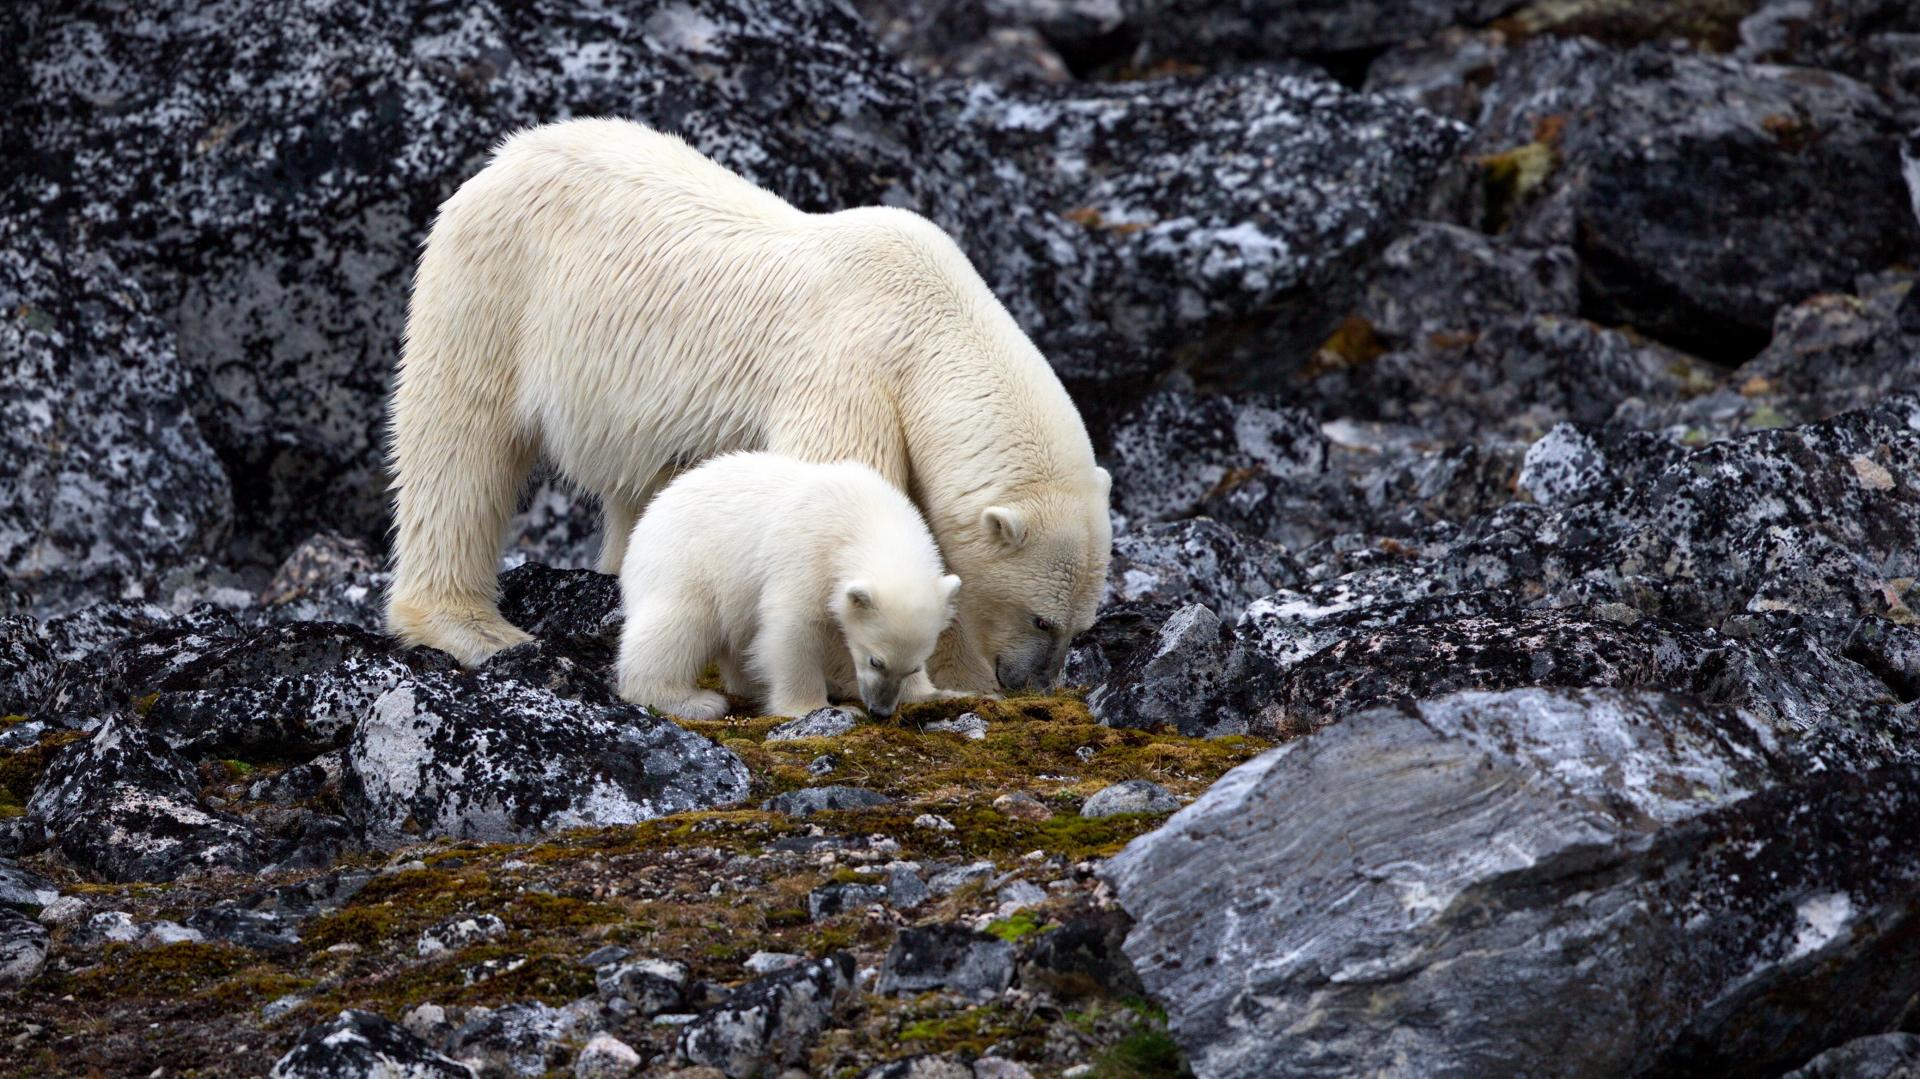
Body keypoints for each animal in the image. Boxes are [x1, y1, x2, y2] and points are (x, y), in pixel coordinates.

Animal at [389, 117, 1113, 687]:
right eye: (1042, 617)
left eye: (1081, 624)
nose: (1034, 685)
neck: (931, 319)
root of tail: (508, 153)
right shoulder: (848, 367)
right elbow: (843, 499)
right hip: (496, 287)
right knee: (458, 444)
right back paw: (473, 627)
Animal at [618, 449, 960, 718]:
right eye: (876, 661)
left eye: (914, 667)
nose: (881, 711)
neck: (866, 515)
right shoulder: (808, 552)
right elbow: (794, 629)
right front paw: (815, 708)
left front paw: (936, 693)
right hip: (687, 562)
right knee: (679, 625)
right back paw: (689, 701)